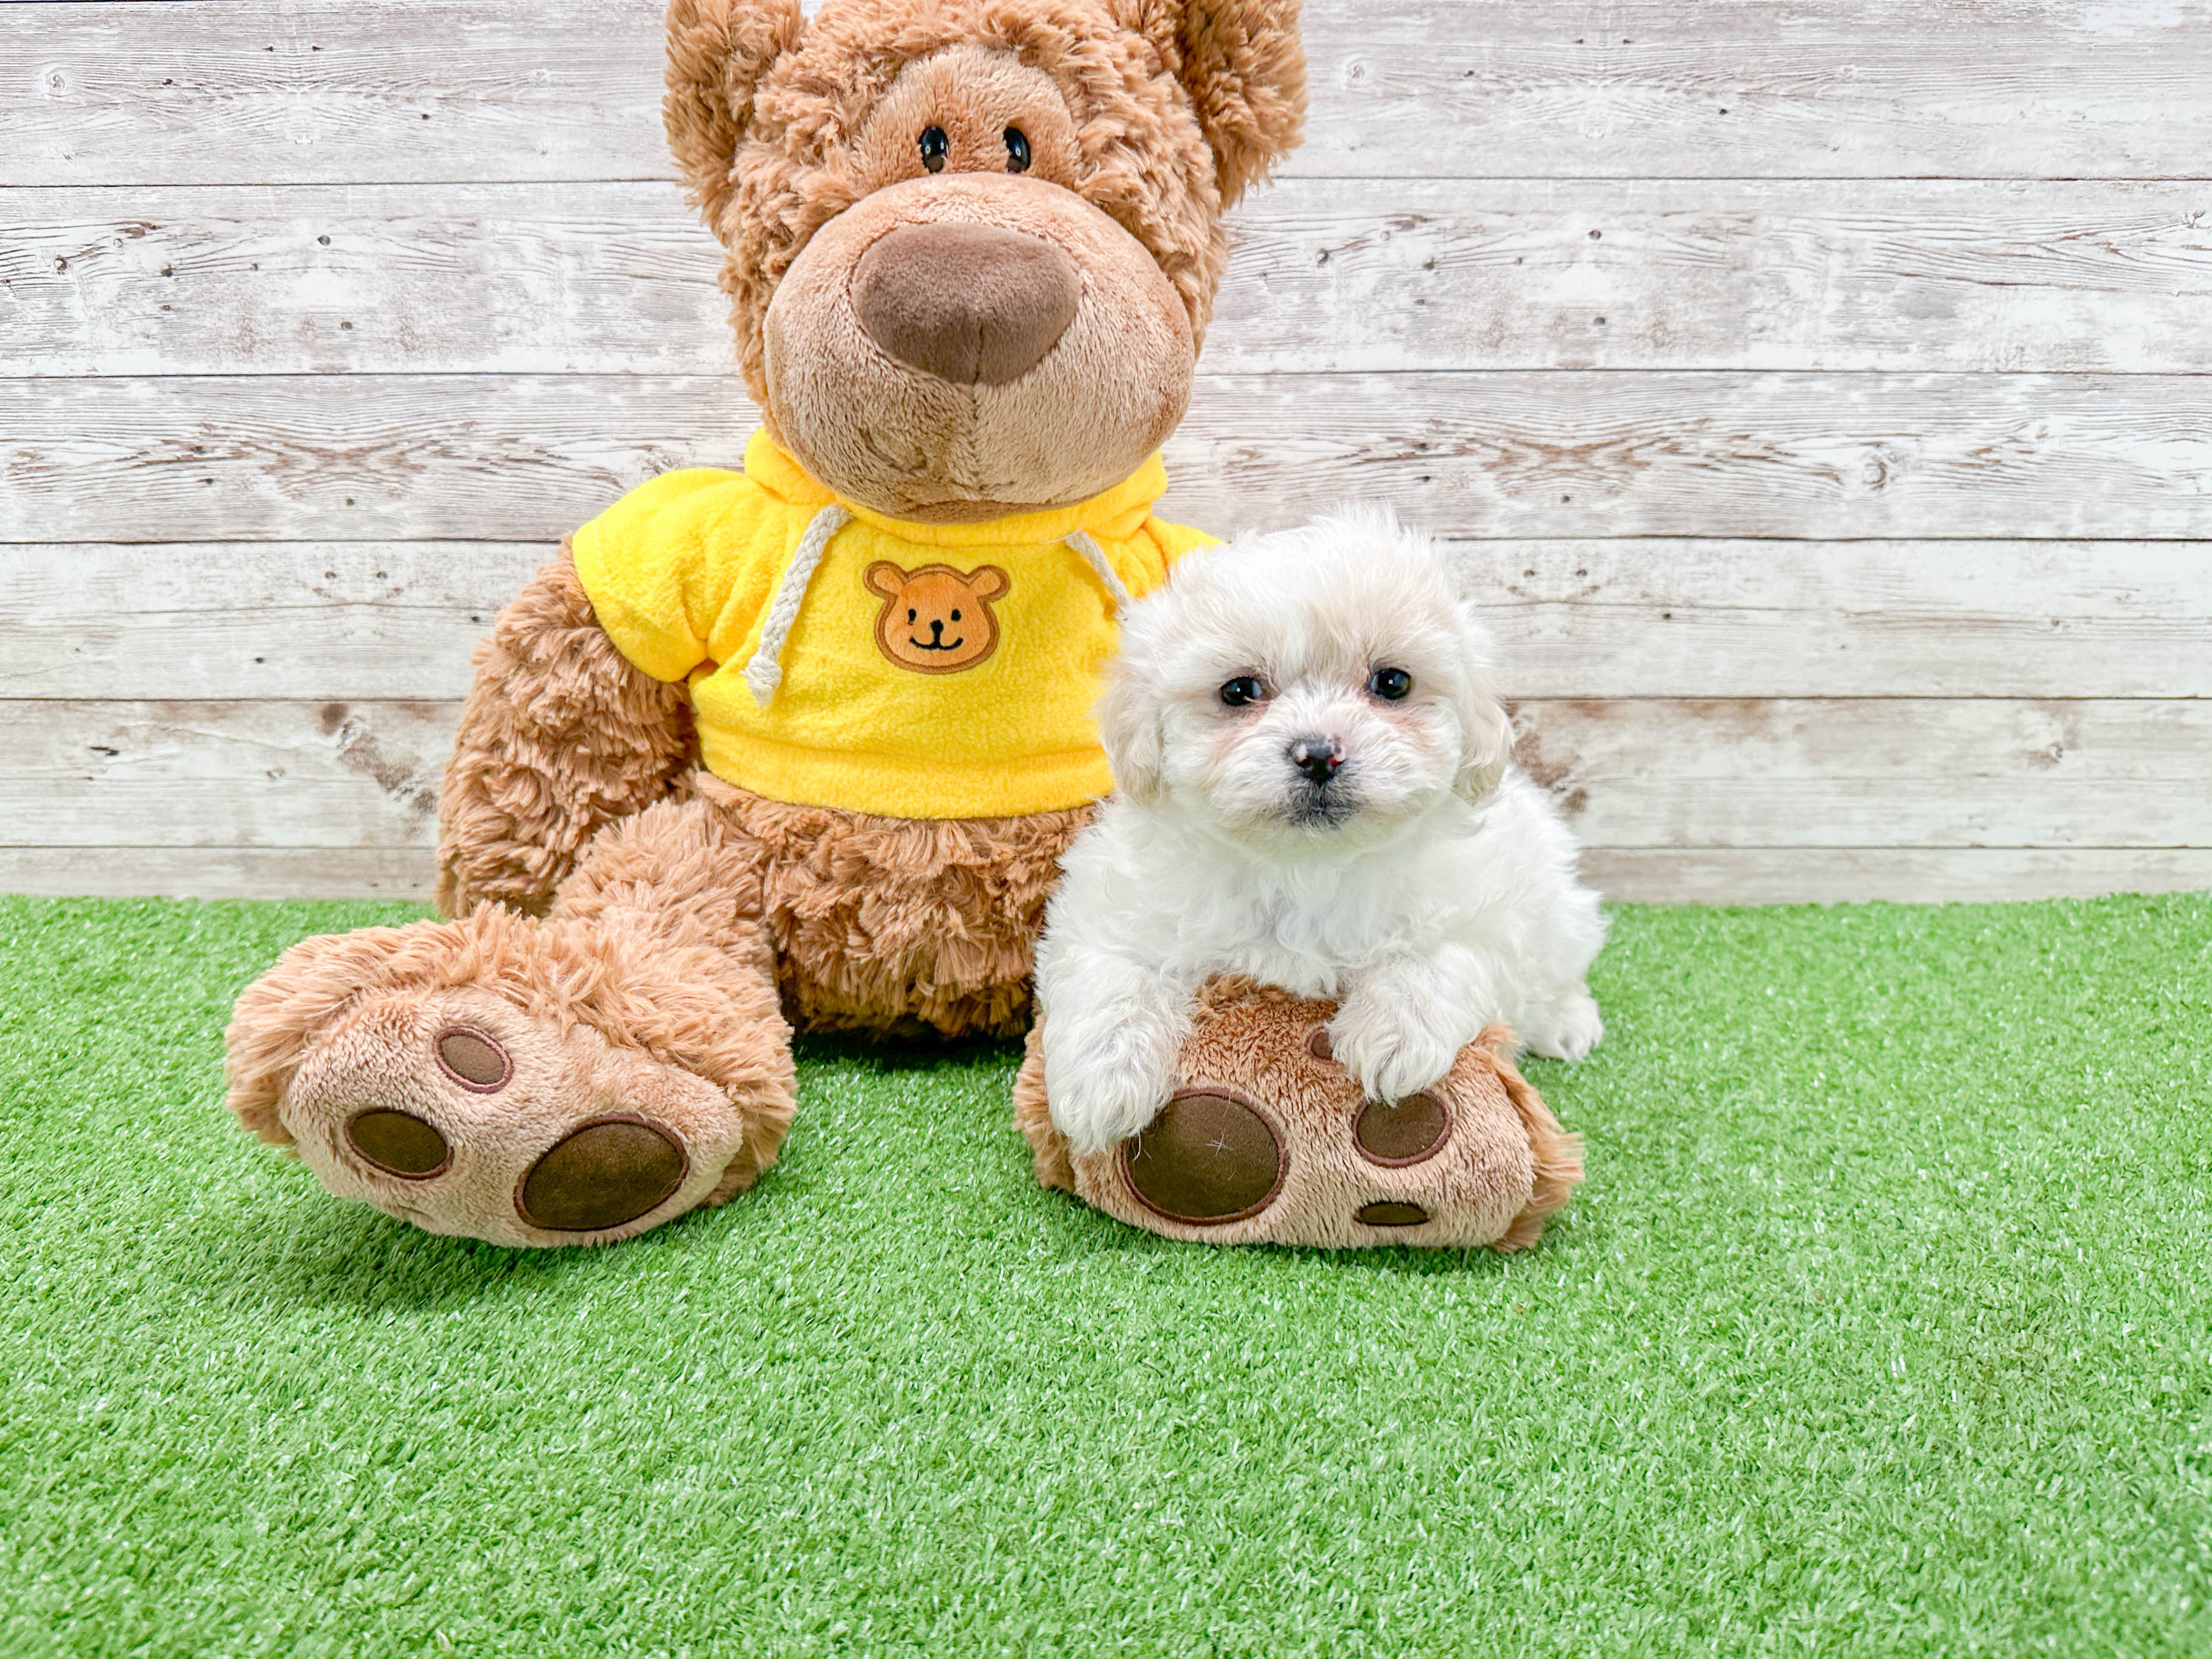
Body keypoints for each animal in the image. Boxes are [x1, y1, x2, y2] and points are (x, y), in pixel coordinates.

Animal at [1035, 506, 1610, 1159]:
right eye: (1239, 690)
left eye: (1392, 683)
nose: (1317, 753)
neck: (1305, 867)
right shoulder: (1112, 905)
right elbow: (1111, 969)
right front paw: (1099, 1083)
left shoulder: (1484, 908)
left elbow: (1439, 956)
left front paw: (1394, 1035)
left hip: (1554, 897)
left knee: (1557, 964)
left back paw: (1566, 1021)